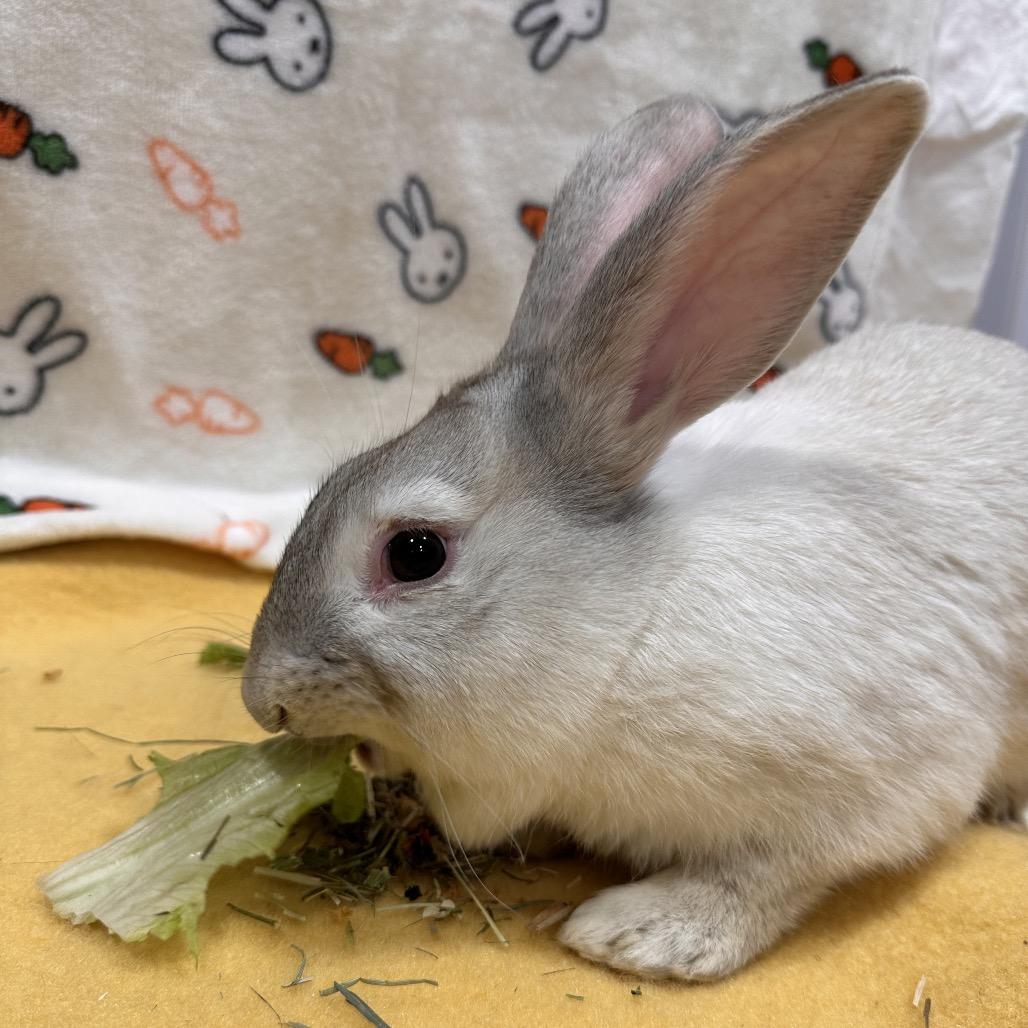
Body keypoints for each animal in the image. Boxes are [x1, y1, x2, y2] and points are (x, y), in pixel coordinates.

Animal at [241, 72, 1028, 980]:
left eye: (414, 552)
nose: (261, 701)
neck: (622, 635)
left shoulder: (873, 779)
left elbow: (765, 875)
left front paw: (643, 933)